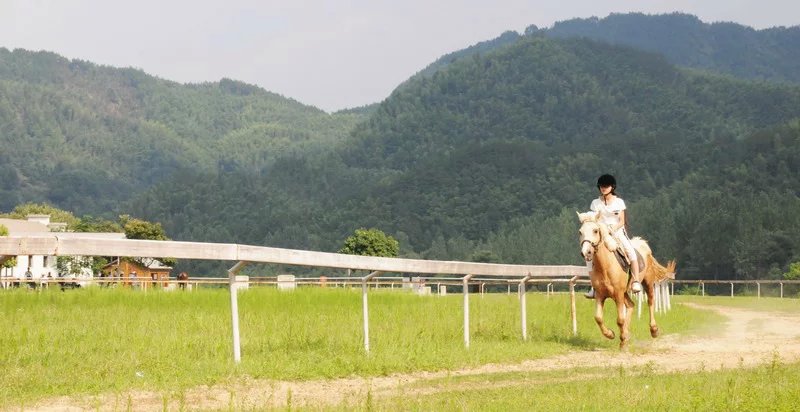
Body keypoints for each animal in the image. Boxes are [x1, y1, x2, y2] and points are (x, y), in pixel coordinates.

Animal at [576, 211, 676, 350]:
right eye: (580, 232)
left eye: (595, 230)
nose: (586, 252)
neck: (605, 266)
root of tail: (643, 243)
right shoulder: (600, 295)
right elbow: (598, 318)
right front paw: (611, 334)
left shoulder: (618, 294)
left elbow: (620, 320)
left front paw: (622, 340)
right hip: (624, 292)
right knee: (631, 305)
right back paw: (627, 334)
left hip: (647, 283)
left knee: (650, 302)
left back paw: (653, 330)